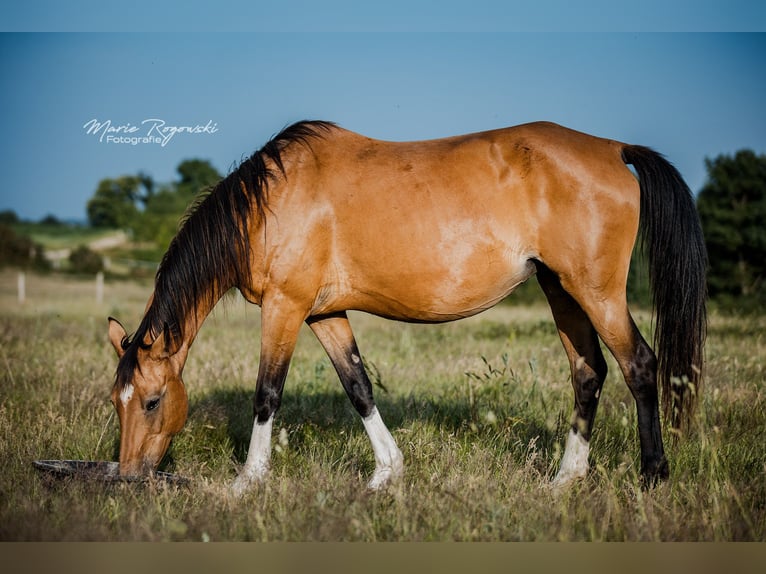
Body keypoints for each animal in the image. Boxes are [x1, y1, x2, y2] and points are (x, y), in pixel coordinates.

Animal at [107, 120, 707, 494]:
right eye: (118, 401)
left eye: (154, 401)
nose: (129, 475)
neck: (270, 202)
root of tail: (613, 148)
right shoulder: (323, 314)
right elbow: (358, 386)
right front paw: (386, 474)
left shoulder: (285, 307)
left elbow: (267, 394)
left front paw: (248, 482)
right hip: (562, 290)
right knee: (589, 371)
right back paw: (565, 479)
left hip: (596, 291)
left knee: (639, 365)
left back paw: (653, 475)